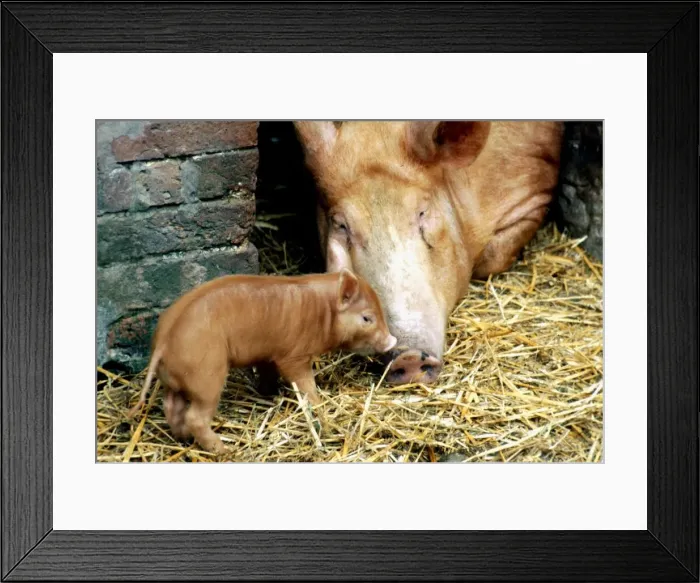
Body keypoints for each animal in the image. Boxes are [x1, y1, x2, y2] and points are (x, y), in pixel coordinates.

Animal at [127, 269, 397, 453]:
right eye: (367, 318)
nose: (392, 341)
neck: (323, 312)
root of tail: (163, 341)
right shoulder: (294, 356)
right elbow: (305, 385)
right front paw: (321, 410)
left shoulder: (268, 354)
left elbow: (268, 373)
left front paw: (269, 393)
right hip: (207, 376)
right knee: (195, 417)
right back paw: (224, 451)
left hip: (175, 379)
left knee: (171, 407)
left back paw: (183, 438)